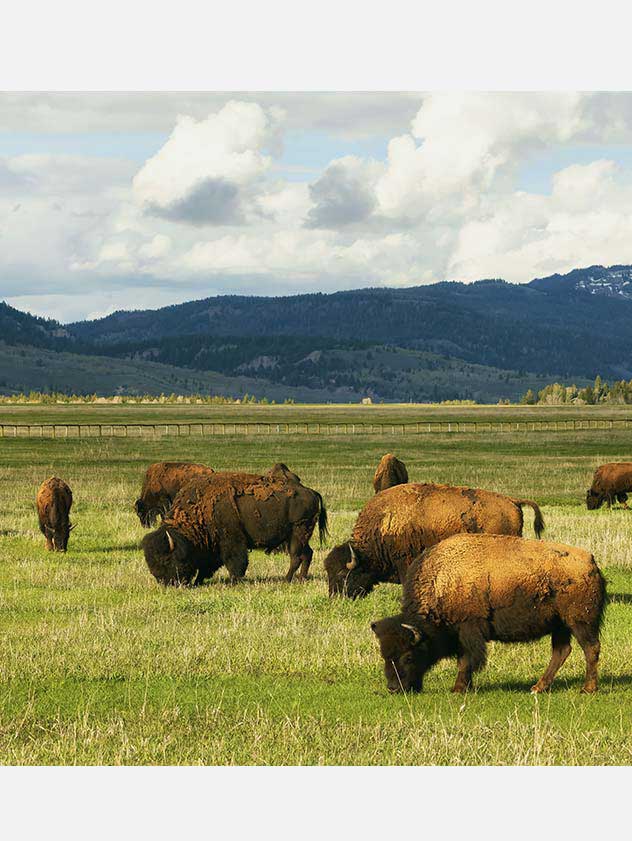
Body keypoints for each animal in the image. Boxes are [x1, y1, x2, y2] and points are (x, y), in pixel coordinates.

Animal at [141, 462, 328, 588]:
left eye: (166, 560)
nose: (167, 583)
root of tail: (311, 491)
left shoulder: (231, 542)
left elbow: (235, 562)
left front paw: (234, 581)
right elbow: (207, 566)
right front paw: (198, 581)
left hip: (298, 533)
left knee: (296, 557)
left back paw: (287, 580)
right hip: (297, 536)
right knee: (307, 554)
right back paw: (301, 579)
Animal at [372, 532, 604, 696]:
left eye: (408, 656)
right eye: (384, 654)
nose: (393, 688)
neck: (441, 582)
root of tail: (591, 562)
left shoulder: (469, 630)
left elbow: (466, 660)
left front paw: (458, 689)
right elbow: (464, 660)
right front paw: (464, 687)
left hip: (579, 622)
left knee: (590, 648)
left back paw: (587, 689)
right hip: (560, 625)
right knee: (561, 651)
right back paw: (538, 687)